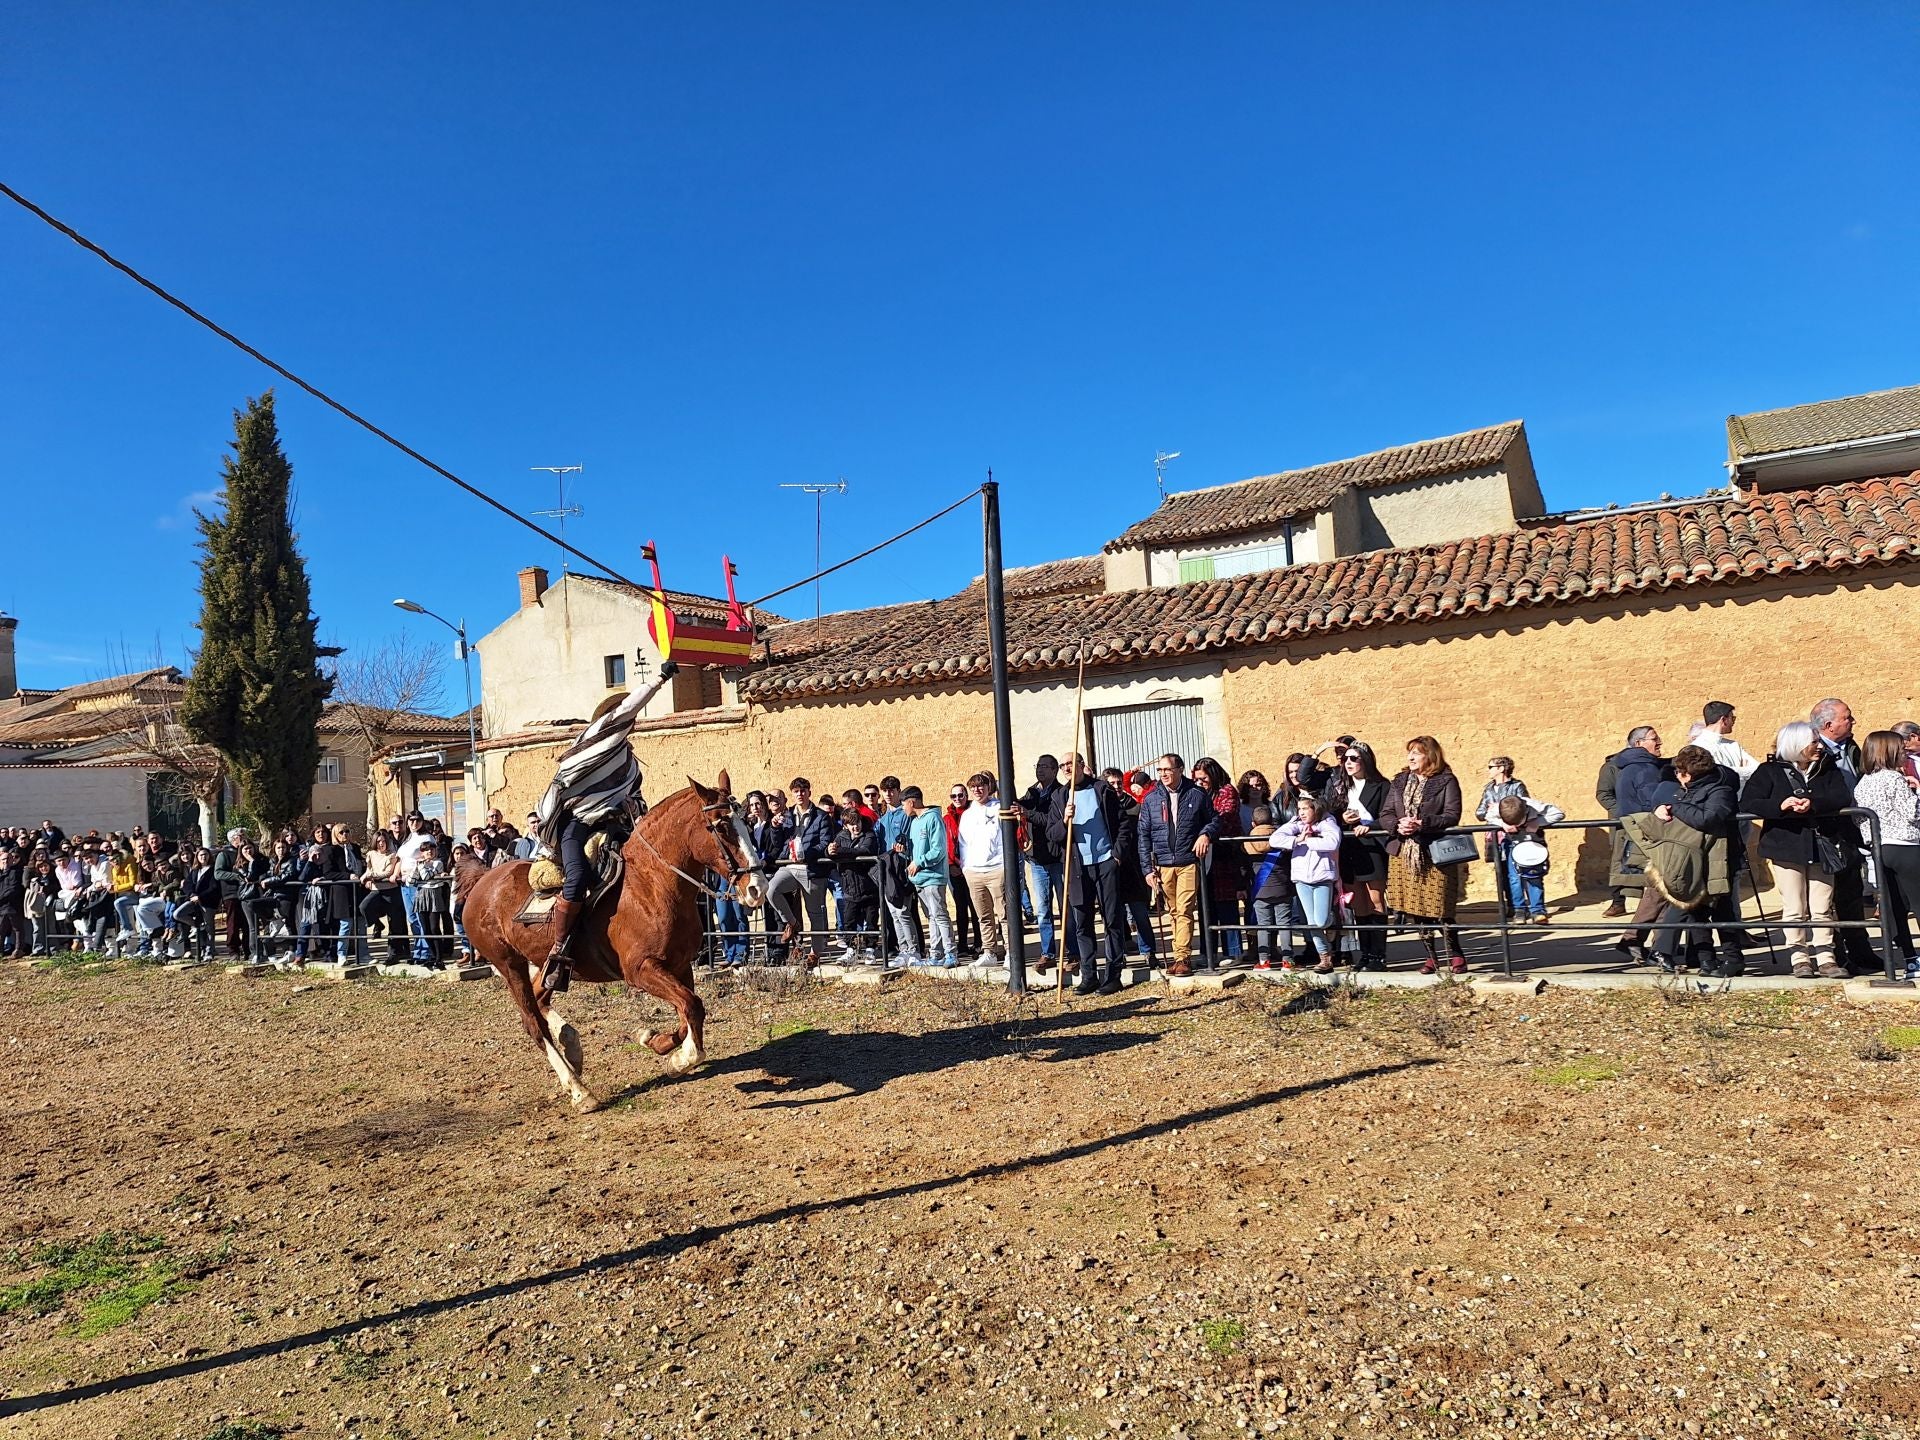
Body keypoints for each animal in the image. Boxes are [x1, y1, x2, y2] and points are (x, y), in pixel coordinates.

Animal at [458, 779, 764, 1113]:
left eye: (746, 822)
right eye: (721, 826)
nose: (756, 888)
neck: (650, 885)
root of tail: (482, 883)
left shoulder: (680, 967)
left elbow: (688, 1012)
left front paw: (655, 1042)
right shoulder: (641, 970)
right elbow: (692, 1008)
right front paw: (681, 1059)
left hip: (546, 966)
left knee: (541, 1000)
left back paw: (571, 1045)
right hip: (509, 965)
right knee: (533, 1022)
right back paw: (579, 1091)